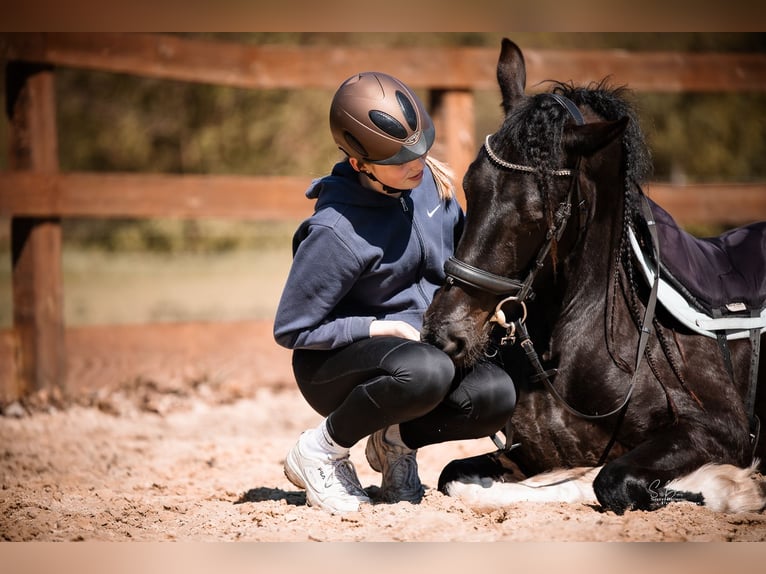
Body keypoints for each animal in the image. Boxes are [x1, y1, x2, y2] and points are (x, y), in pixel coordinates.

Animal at [420, 38, 766, 516]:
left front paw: (732, 487)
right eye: (472, 186)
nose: (444, 332)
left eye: (536, 212)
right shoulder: (528, 450)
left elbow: (610, 481)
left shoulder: (722, 428)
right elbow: (455, 477)